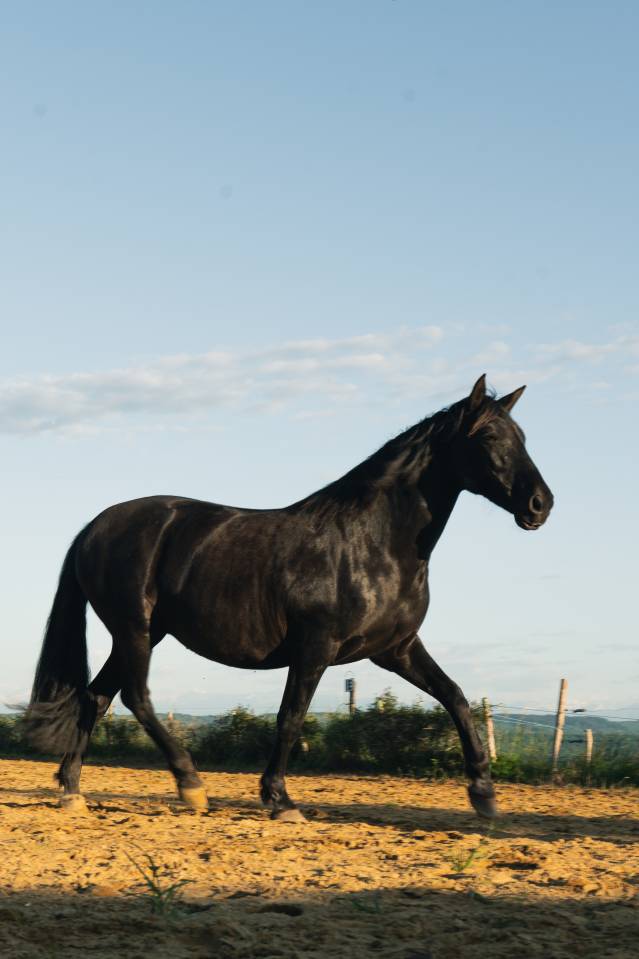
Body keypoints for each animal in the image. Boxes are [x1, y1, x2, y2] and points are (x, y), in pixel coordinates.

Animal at [24, 374, 553, 819]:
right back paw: (190, 785)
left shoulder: (396, 650)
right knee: (135, 697)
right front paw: (280, 800)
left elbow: (456, 697)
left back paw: (72, 791)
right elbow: (290, 717)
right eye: (489, 438)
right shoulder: (315, 647)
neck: (374, 542)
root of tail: (95, 526)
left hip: (143, 633)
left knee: (96, 697)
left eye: (523, 438)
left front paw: (484, 794)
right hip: (134, 628)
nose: (540, 505)